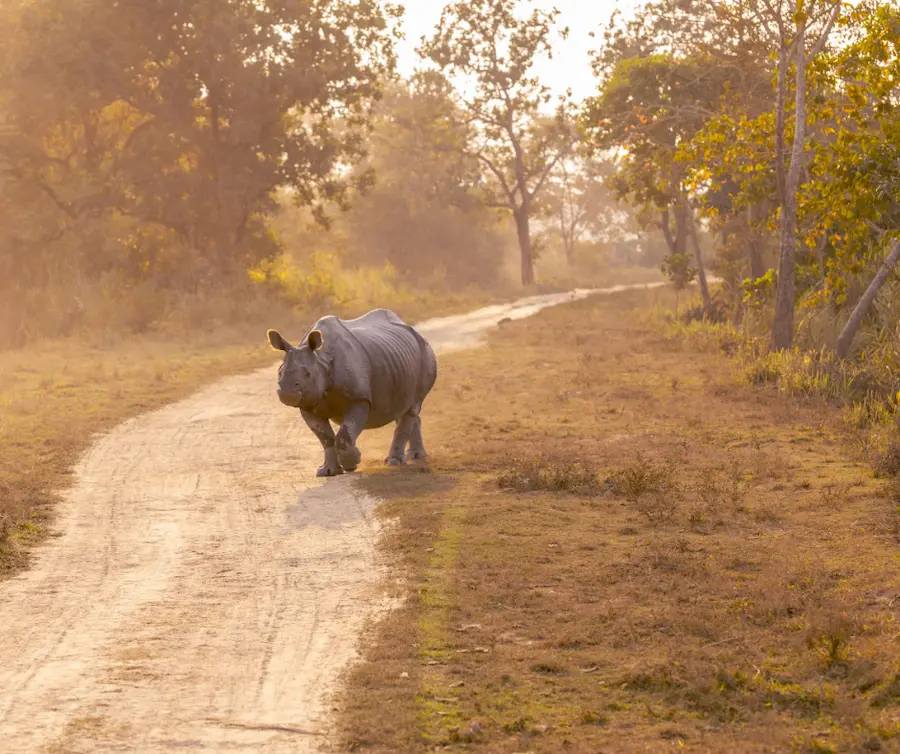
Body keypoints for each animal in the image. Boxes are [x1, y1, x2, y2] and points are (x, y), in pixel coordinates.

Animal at [266, 306, 438, 476]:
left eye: (308, 374)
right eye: (279, 373)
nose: (287, 393)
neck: (321, 359)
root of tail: (415, 331)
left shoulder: (359, 398)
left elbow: (344, 435)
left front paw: (352, 463)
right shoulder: (308, 403)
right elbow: (325, 438)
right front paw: (328, 471)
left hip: (425, 353)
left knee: (412, 406)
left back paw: (394, 462)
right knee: (403, 407)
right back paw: (415, 456)